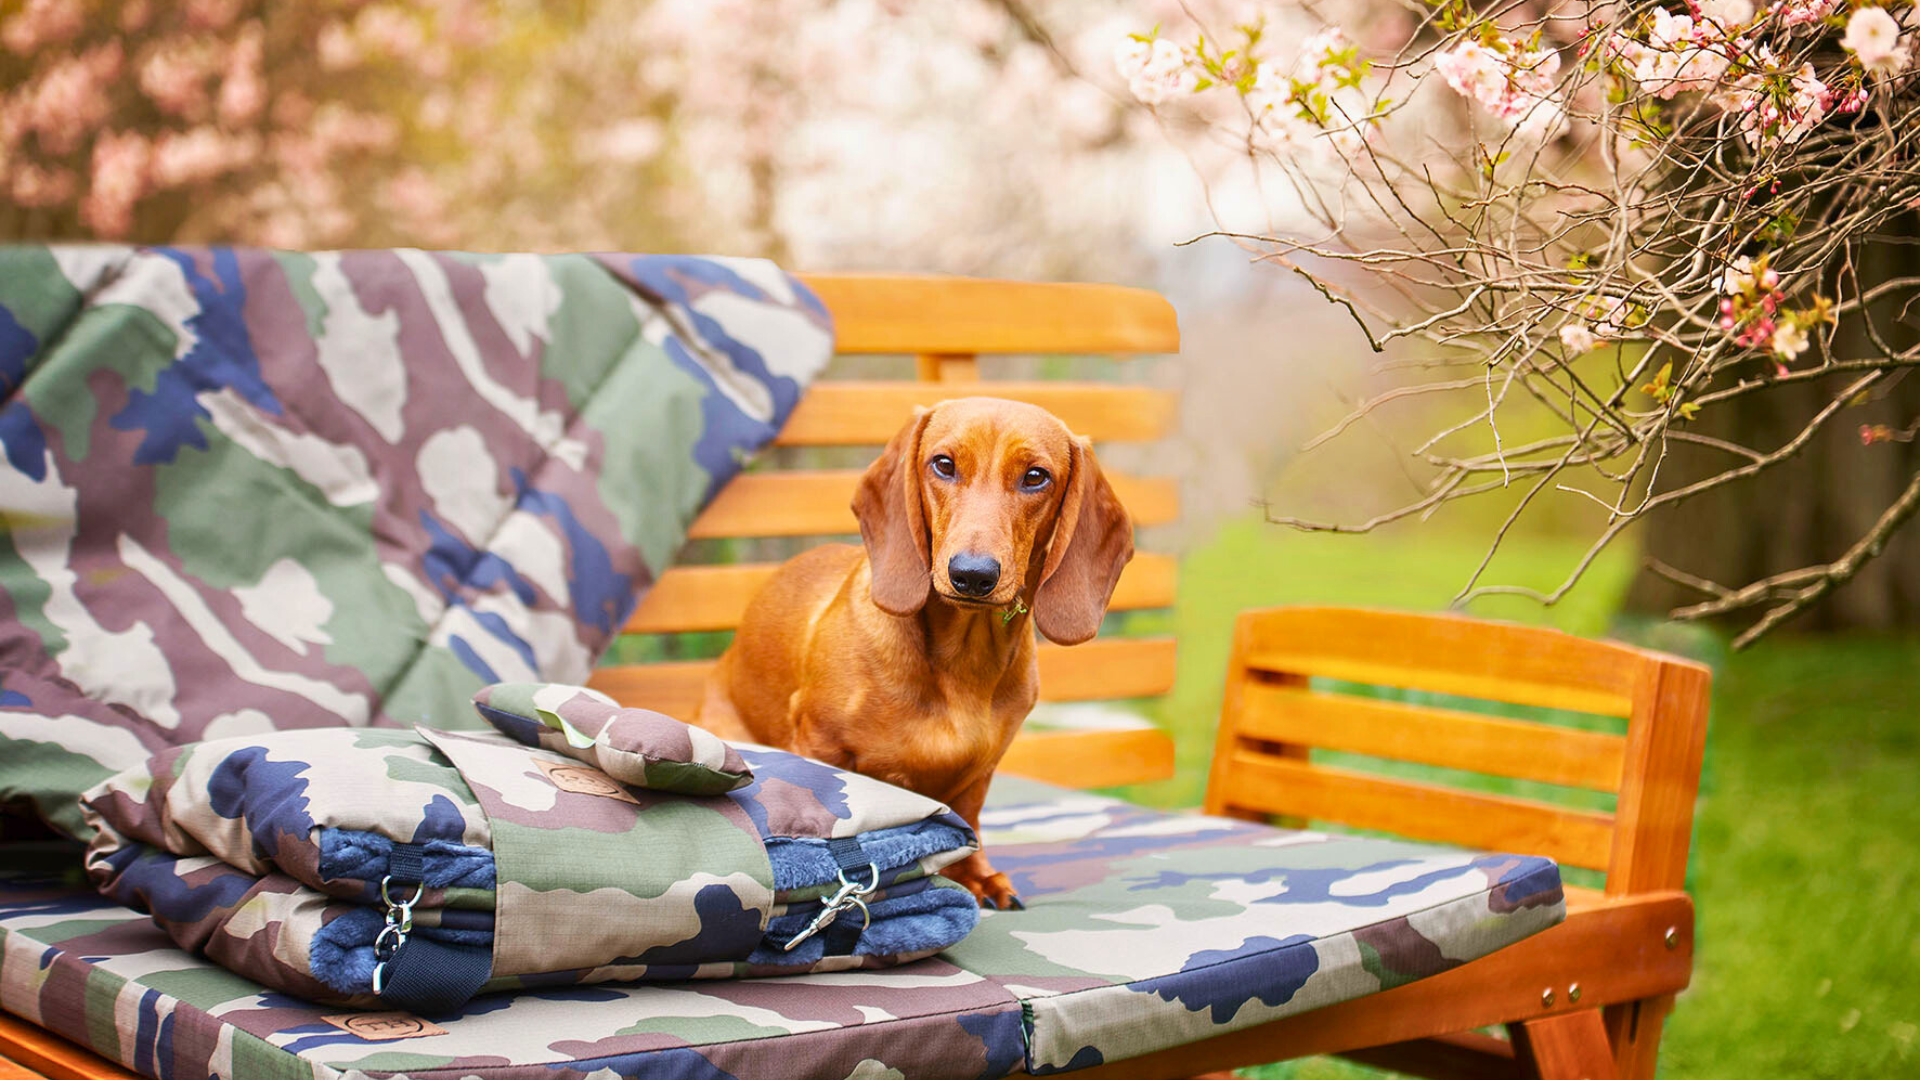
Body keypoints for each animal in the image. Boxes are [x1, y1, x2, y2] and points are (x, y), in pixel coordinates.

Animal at [695, 393, 1128, 899]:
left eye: (1036, 476)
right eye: (943, 464)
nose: (973, 575)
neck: (963, 663)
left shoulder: (980, 773)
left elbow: (970, 821)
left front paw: (975, 875)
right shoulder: (820, 745)